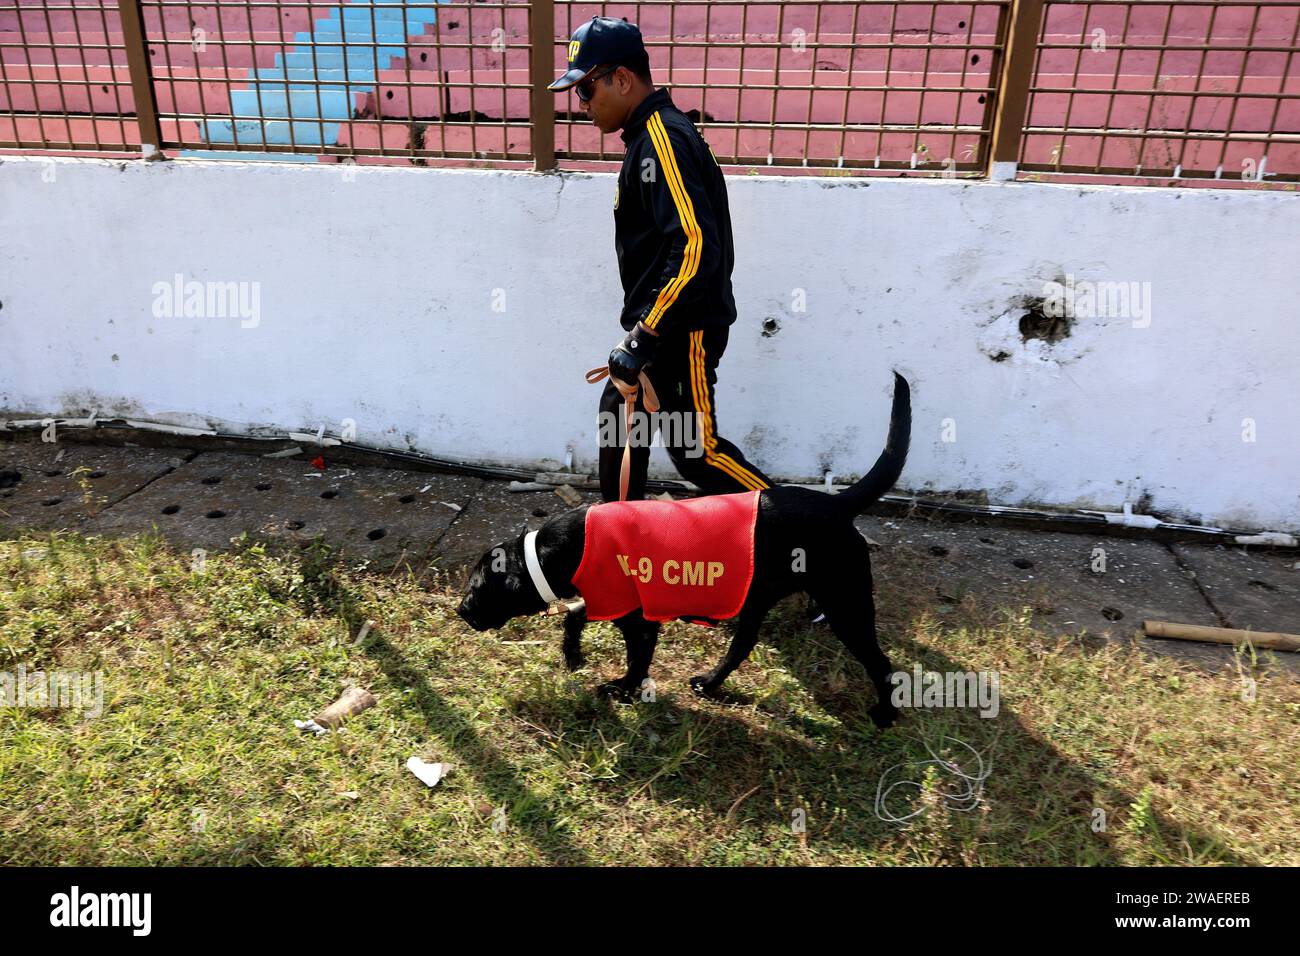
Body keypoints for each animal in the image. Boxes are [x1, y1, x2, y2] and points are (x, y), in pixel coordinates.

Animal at [457, 369, 915, 728]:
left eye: (478, 588)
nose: (460, 611)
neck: (560, 548)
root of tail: (839, 503)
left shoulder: (640, 623)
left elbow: (636, 661)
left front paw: (621, 690)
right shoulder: (607, 598)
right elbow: (575, 616)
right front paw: (573, 655)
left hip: (847, 608)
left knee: (882, 665)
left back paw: (885, 715)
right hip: (756, 602)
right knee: (740, 648)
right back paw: (710, 683)